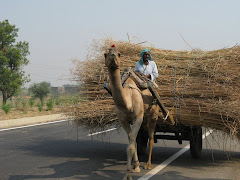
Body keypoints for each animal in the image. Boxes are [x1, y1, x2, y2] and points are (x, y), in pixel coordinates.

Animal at [104, 46, 161, 180]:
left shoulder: (138, 118)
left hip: (153, 116)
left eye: (119, 54)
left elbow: (130, 146)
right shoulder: (123, 121)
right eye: (105, 54)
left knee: (151, 138)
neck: (128, 100)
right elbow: (132, 142)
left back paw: (148, 165)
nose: (113, 56)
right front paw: (135, 166)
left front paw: (128, 175)